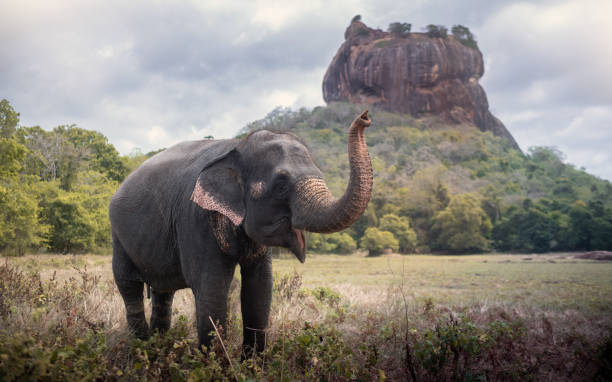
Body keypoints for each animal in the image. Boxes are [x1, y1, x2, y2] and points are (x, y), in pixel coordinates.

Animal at [109, 109, 372, 354]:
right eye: (281, 186)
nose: (365, 117)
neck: (235, 147)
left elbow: (260, 286)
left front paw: (252, 365)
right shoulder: (195, 219)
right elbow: (211, 287)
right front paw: (216, 365)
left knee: (163, 294)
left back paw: (157, 348)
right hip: (118, 237)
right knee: (129, 287)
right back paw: (141, 348)